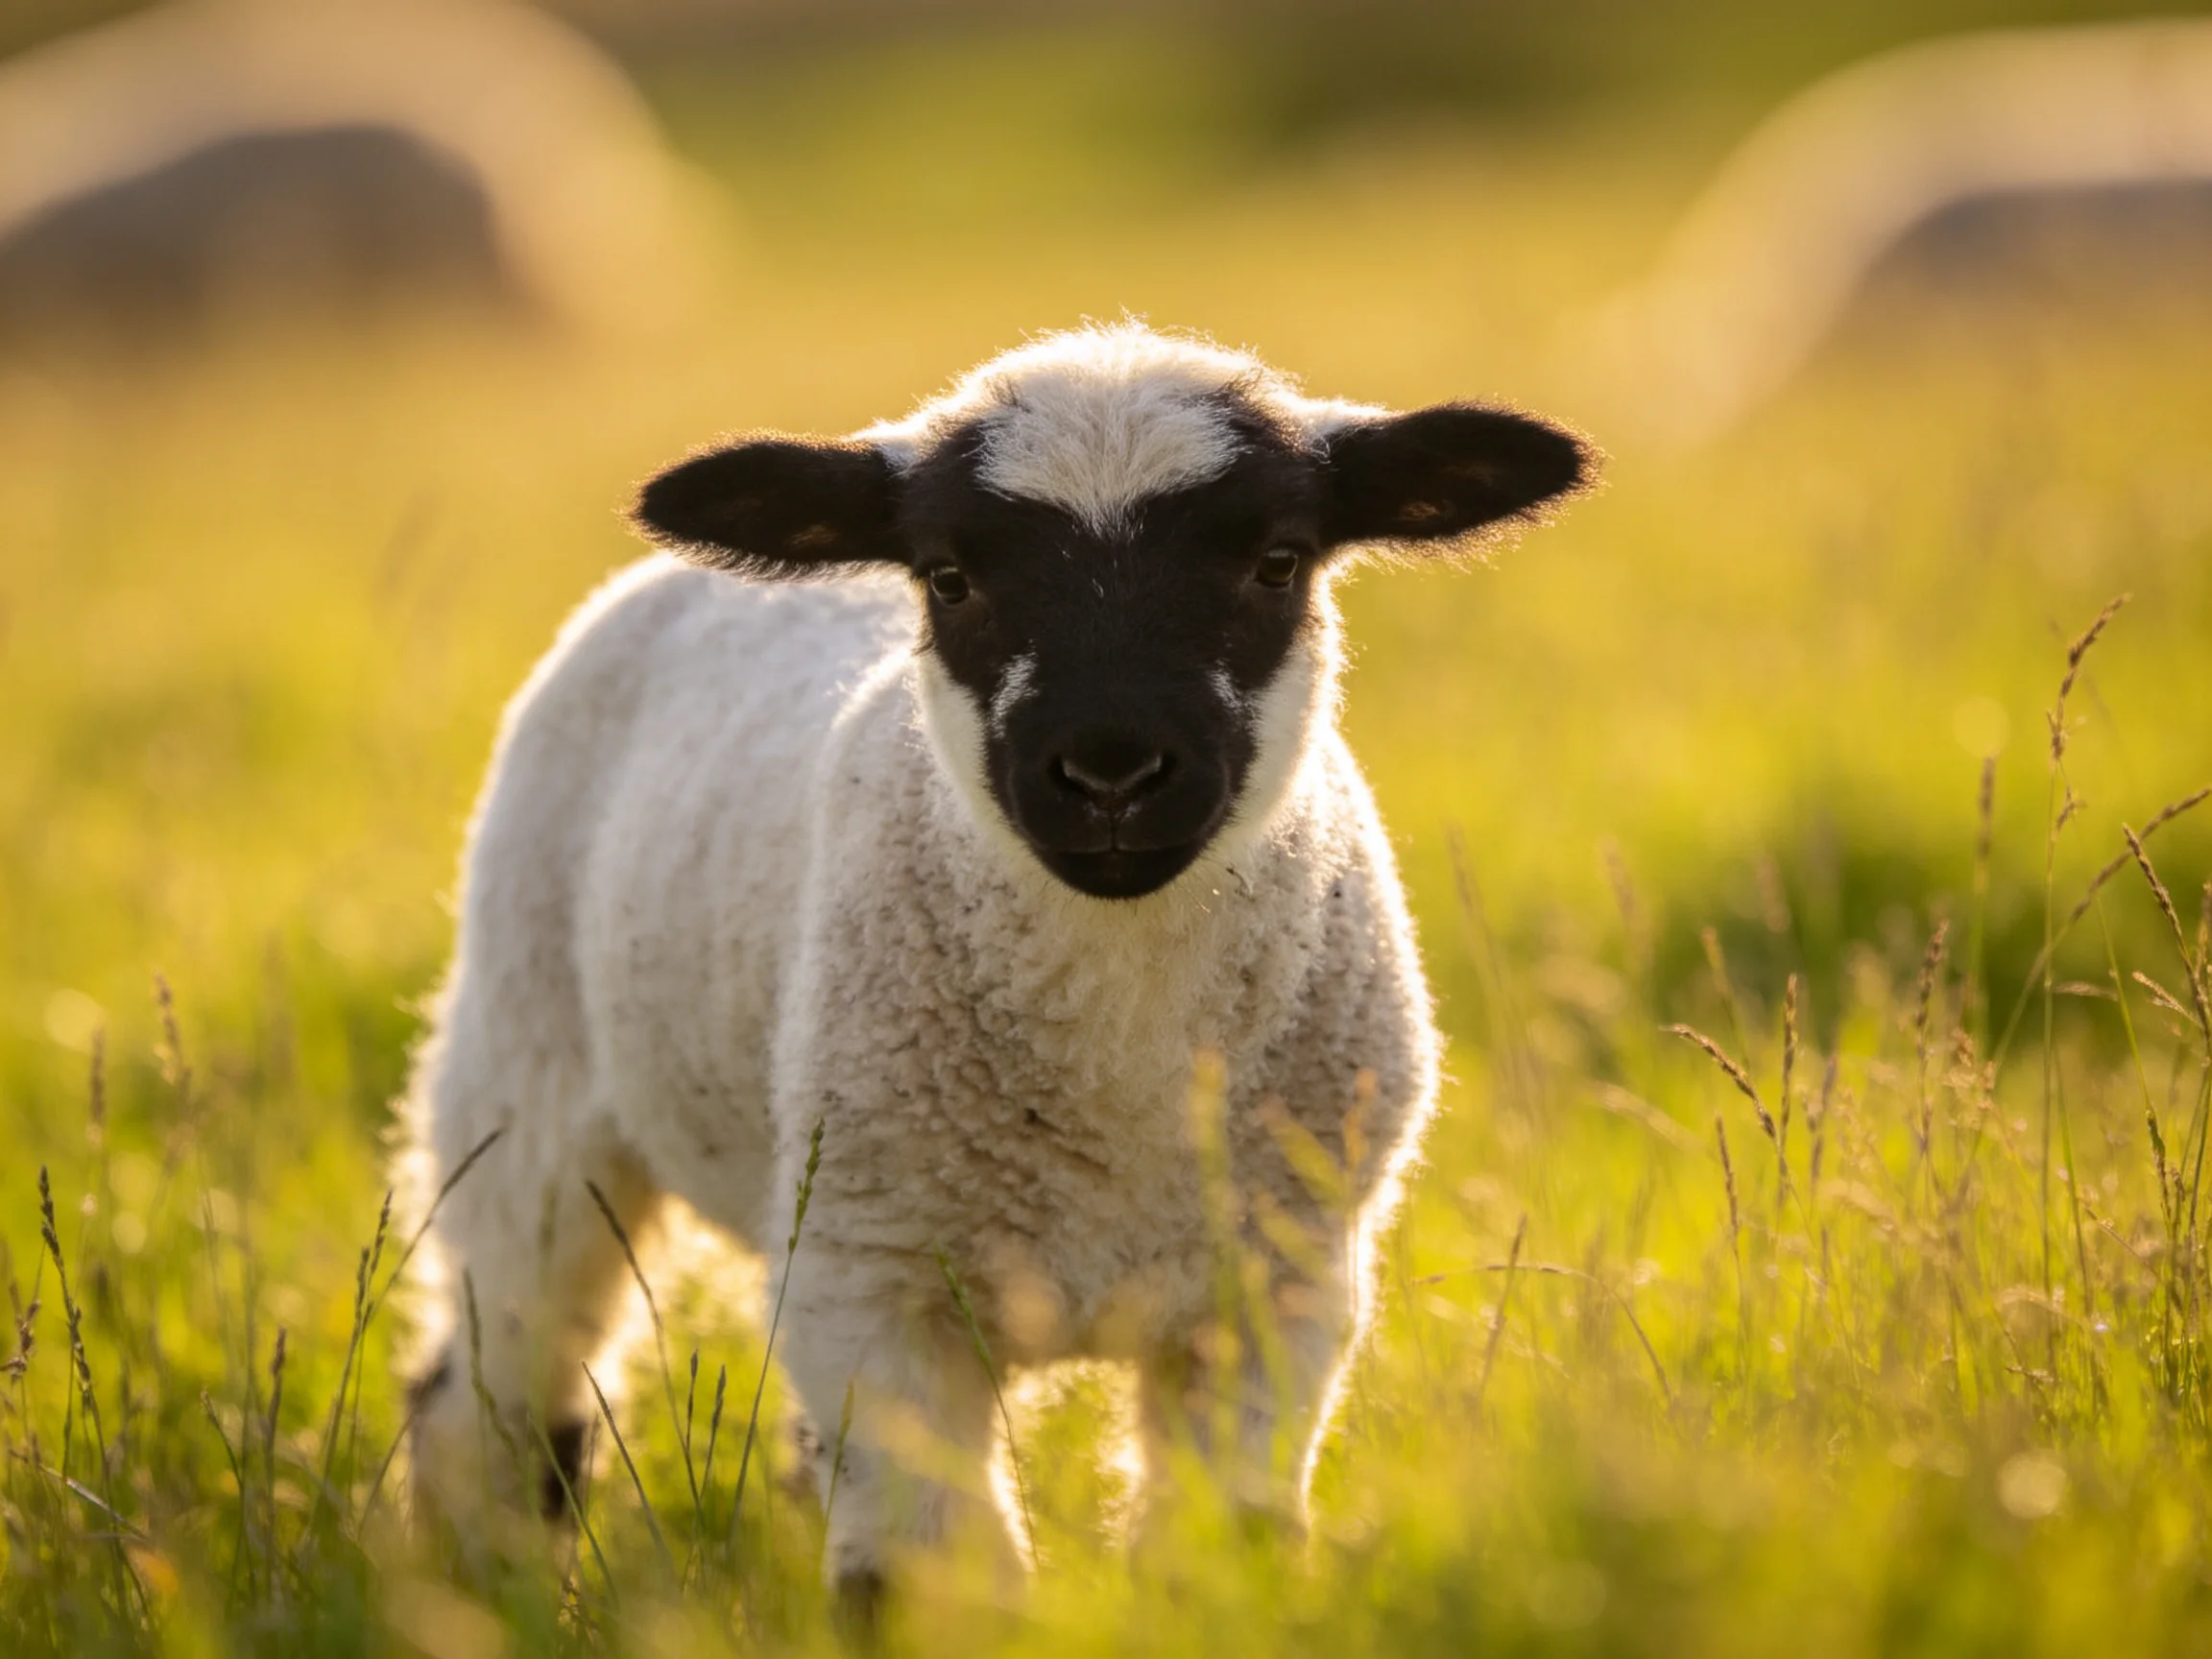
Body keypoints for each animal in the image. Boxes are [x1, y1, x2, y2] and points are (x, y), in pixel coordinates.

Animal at [400, 322, 1592, 1603]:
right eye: (948, 577)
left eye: (1278, 562)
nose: (1113, 769)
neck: (1120, 1070)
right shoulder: (871, 1282)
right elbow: (921, 1591)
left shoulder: (1281, 1284)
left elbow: (1227, 1543)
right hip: (529, 1096)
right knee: (497, 1398)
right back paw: (481, 1590)